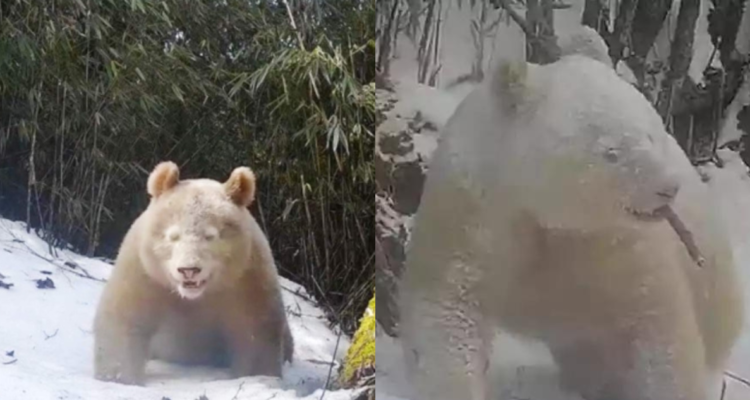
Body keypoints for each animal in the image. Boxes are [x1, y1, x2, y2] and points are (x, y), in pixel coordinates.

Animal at [93, 161, 294, 386]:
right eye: (173, 236)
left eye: (210, 236)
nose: (188, 270)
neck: (196, 295)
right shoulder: (146, 272)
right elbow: (124, 319)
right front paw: (119, 378)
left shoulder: (245, 279)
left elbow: (254, 332)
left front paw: (257, 377)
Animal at [397, 54, 744, 400]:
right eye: (611, 151)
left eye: (651, 134)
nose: (668, 187)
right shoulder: (473, 218)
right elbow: (449, 311)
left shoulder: (613, 246)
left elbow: (659, 327)